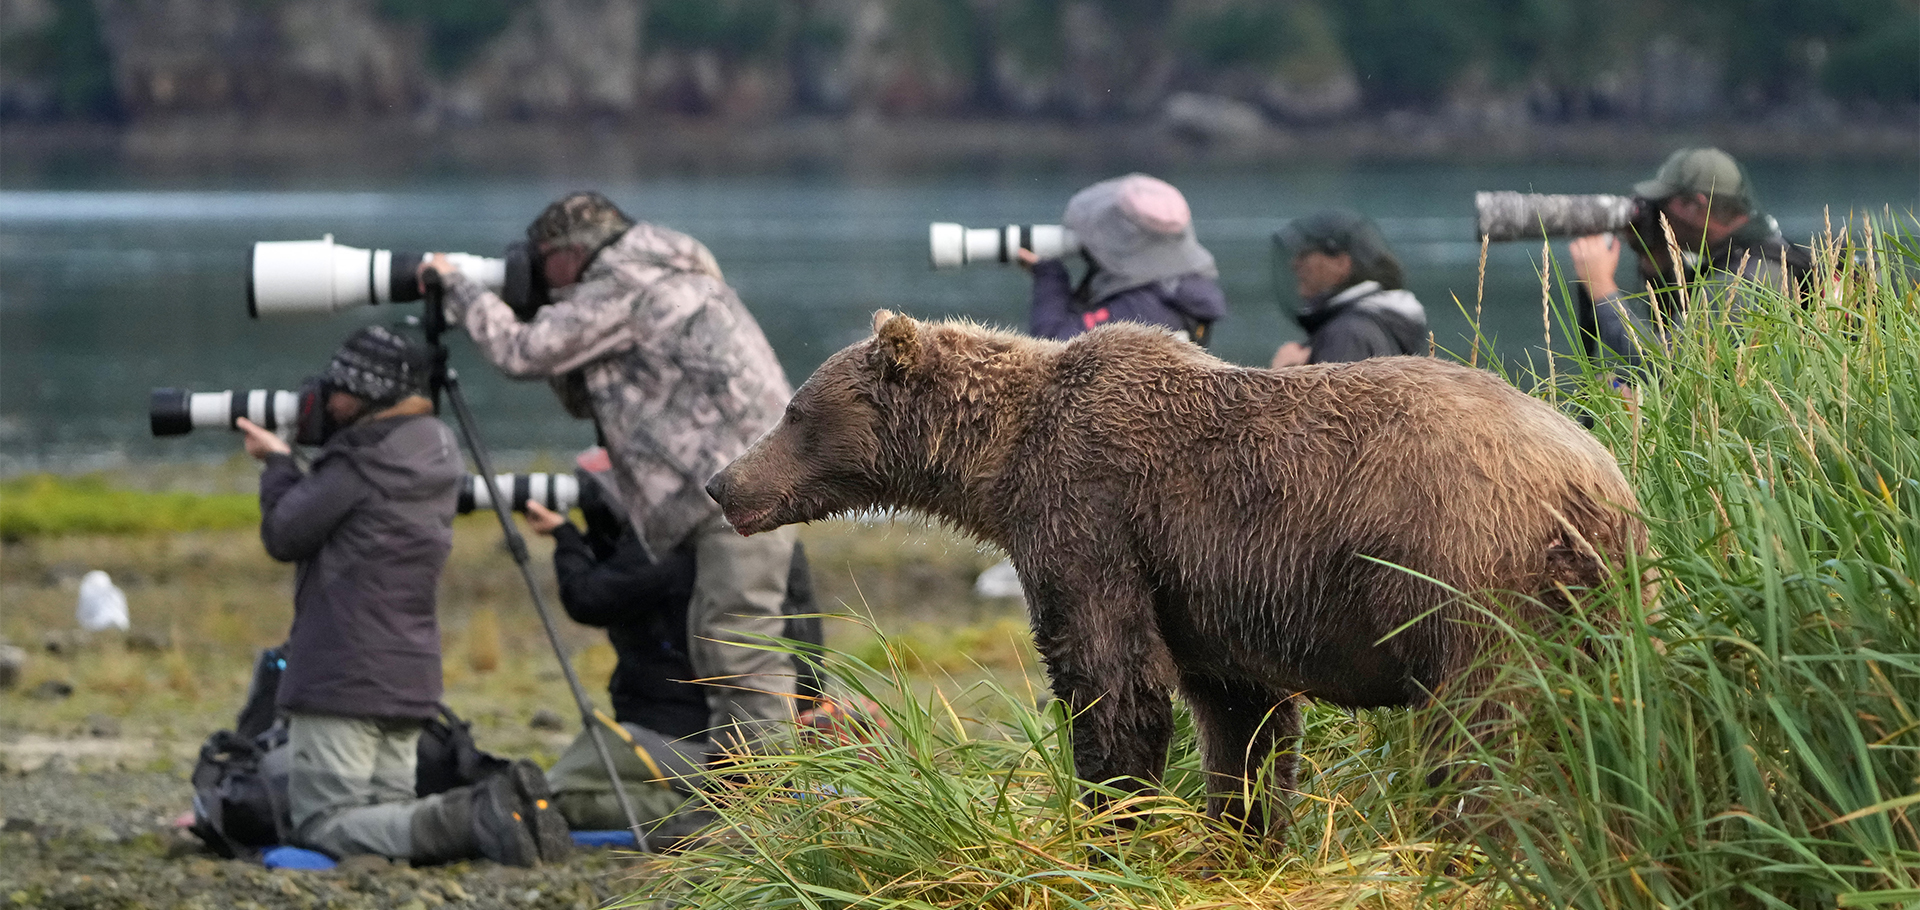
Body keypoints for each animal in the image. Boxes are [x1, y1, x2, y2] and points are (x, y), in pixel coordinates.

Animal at [706, 310, 1647, 838]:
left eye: (792, 409)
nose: (722, 482)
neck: (1002, 469)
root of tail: (1594, 477)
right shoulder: (1208, 594)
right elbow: (1241, 721)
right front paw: (1240, 832)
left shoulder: (1090, 516)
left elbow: (1112, 681)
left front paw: (1109, 826)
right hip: (1601, 597)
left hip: (1465, 573)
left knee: (1489, 727)